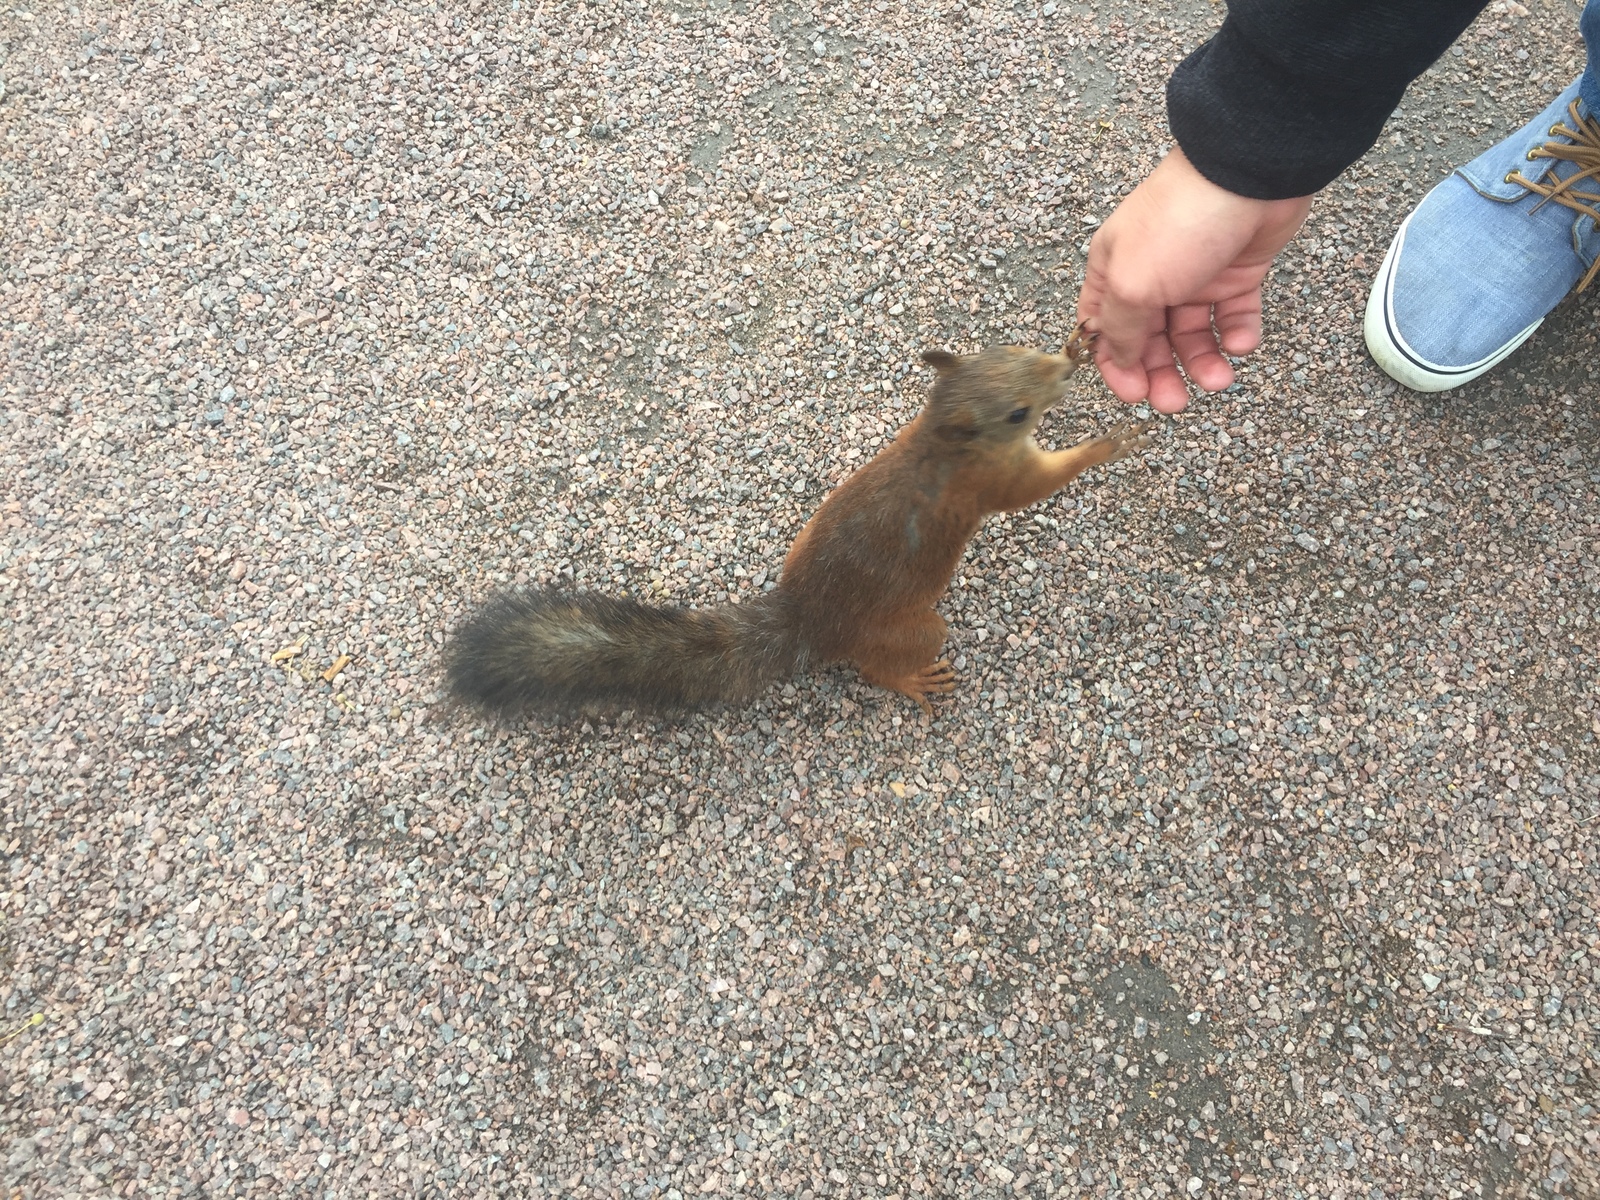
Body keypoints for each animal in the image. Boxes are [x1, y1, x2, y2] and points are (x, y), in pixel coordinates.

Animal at [444, 324, 1158, 720]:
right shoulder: (994, 482)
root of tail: (807, 620)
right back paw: (911, 678)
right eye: (1015, 413)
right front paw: (1108, 444)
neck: (940, 439)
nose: (1061, 374)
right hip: (912, 627)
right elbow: (1038, 486)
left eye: (1016, 346)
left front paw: (1079, 346)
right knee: (875, 667)